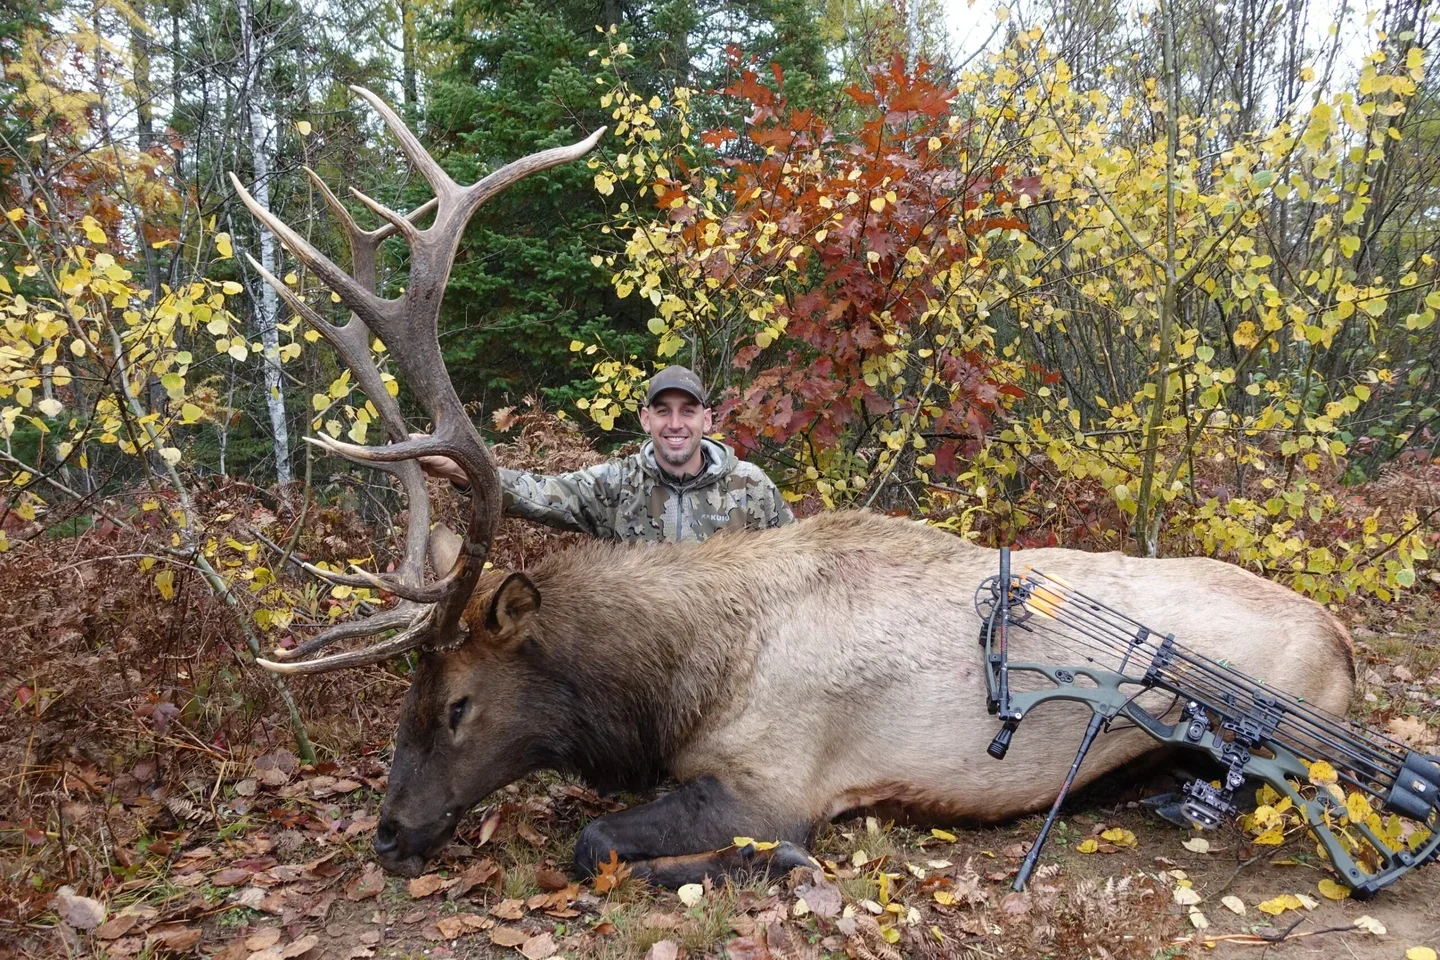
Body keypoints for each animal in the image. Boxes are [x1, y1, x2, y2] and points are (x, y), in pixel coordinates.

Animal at [229, 88, 1357, 888]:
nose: (389, 833)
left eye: (459, 702)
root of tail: (1347, 643)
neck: (678, 682)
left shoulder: (775, 779)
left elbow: (595, 845)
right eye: (409, 696)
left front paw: (786, 864)